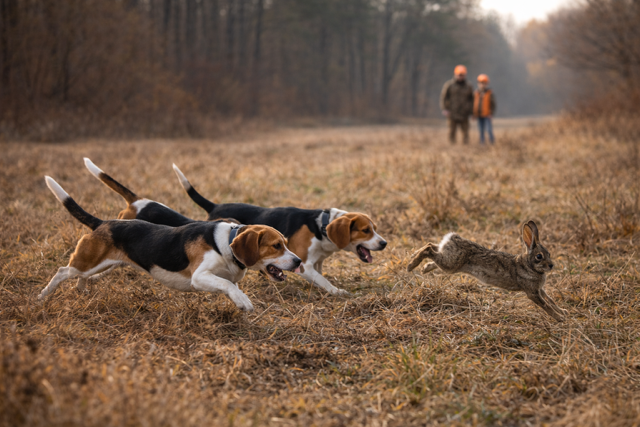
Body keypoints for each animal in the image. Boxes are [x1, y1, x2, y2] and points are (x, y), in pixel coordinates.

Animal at [407, 220, 567, 321]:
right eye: (539, 256)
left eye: (549, 253)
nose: (551, 265)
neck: (528, 264)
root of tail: (452, 238)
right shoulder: (532, 292)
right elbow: (546, 305)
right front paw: (560, 318)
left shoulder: (539, 290)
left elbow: (550, 300)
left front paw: (563, 312)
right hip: (450, 263)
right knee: (428, 248)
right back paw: (411, 264)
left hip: (449, 262)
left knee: (433, 247)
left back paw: (423, 267)